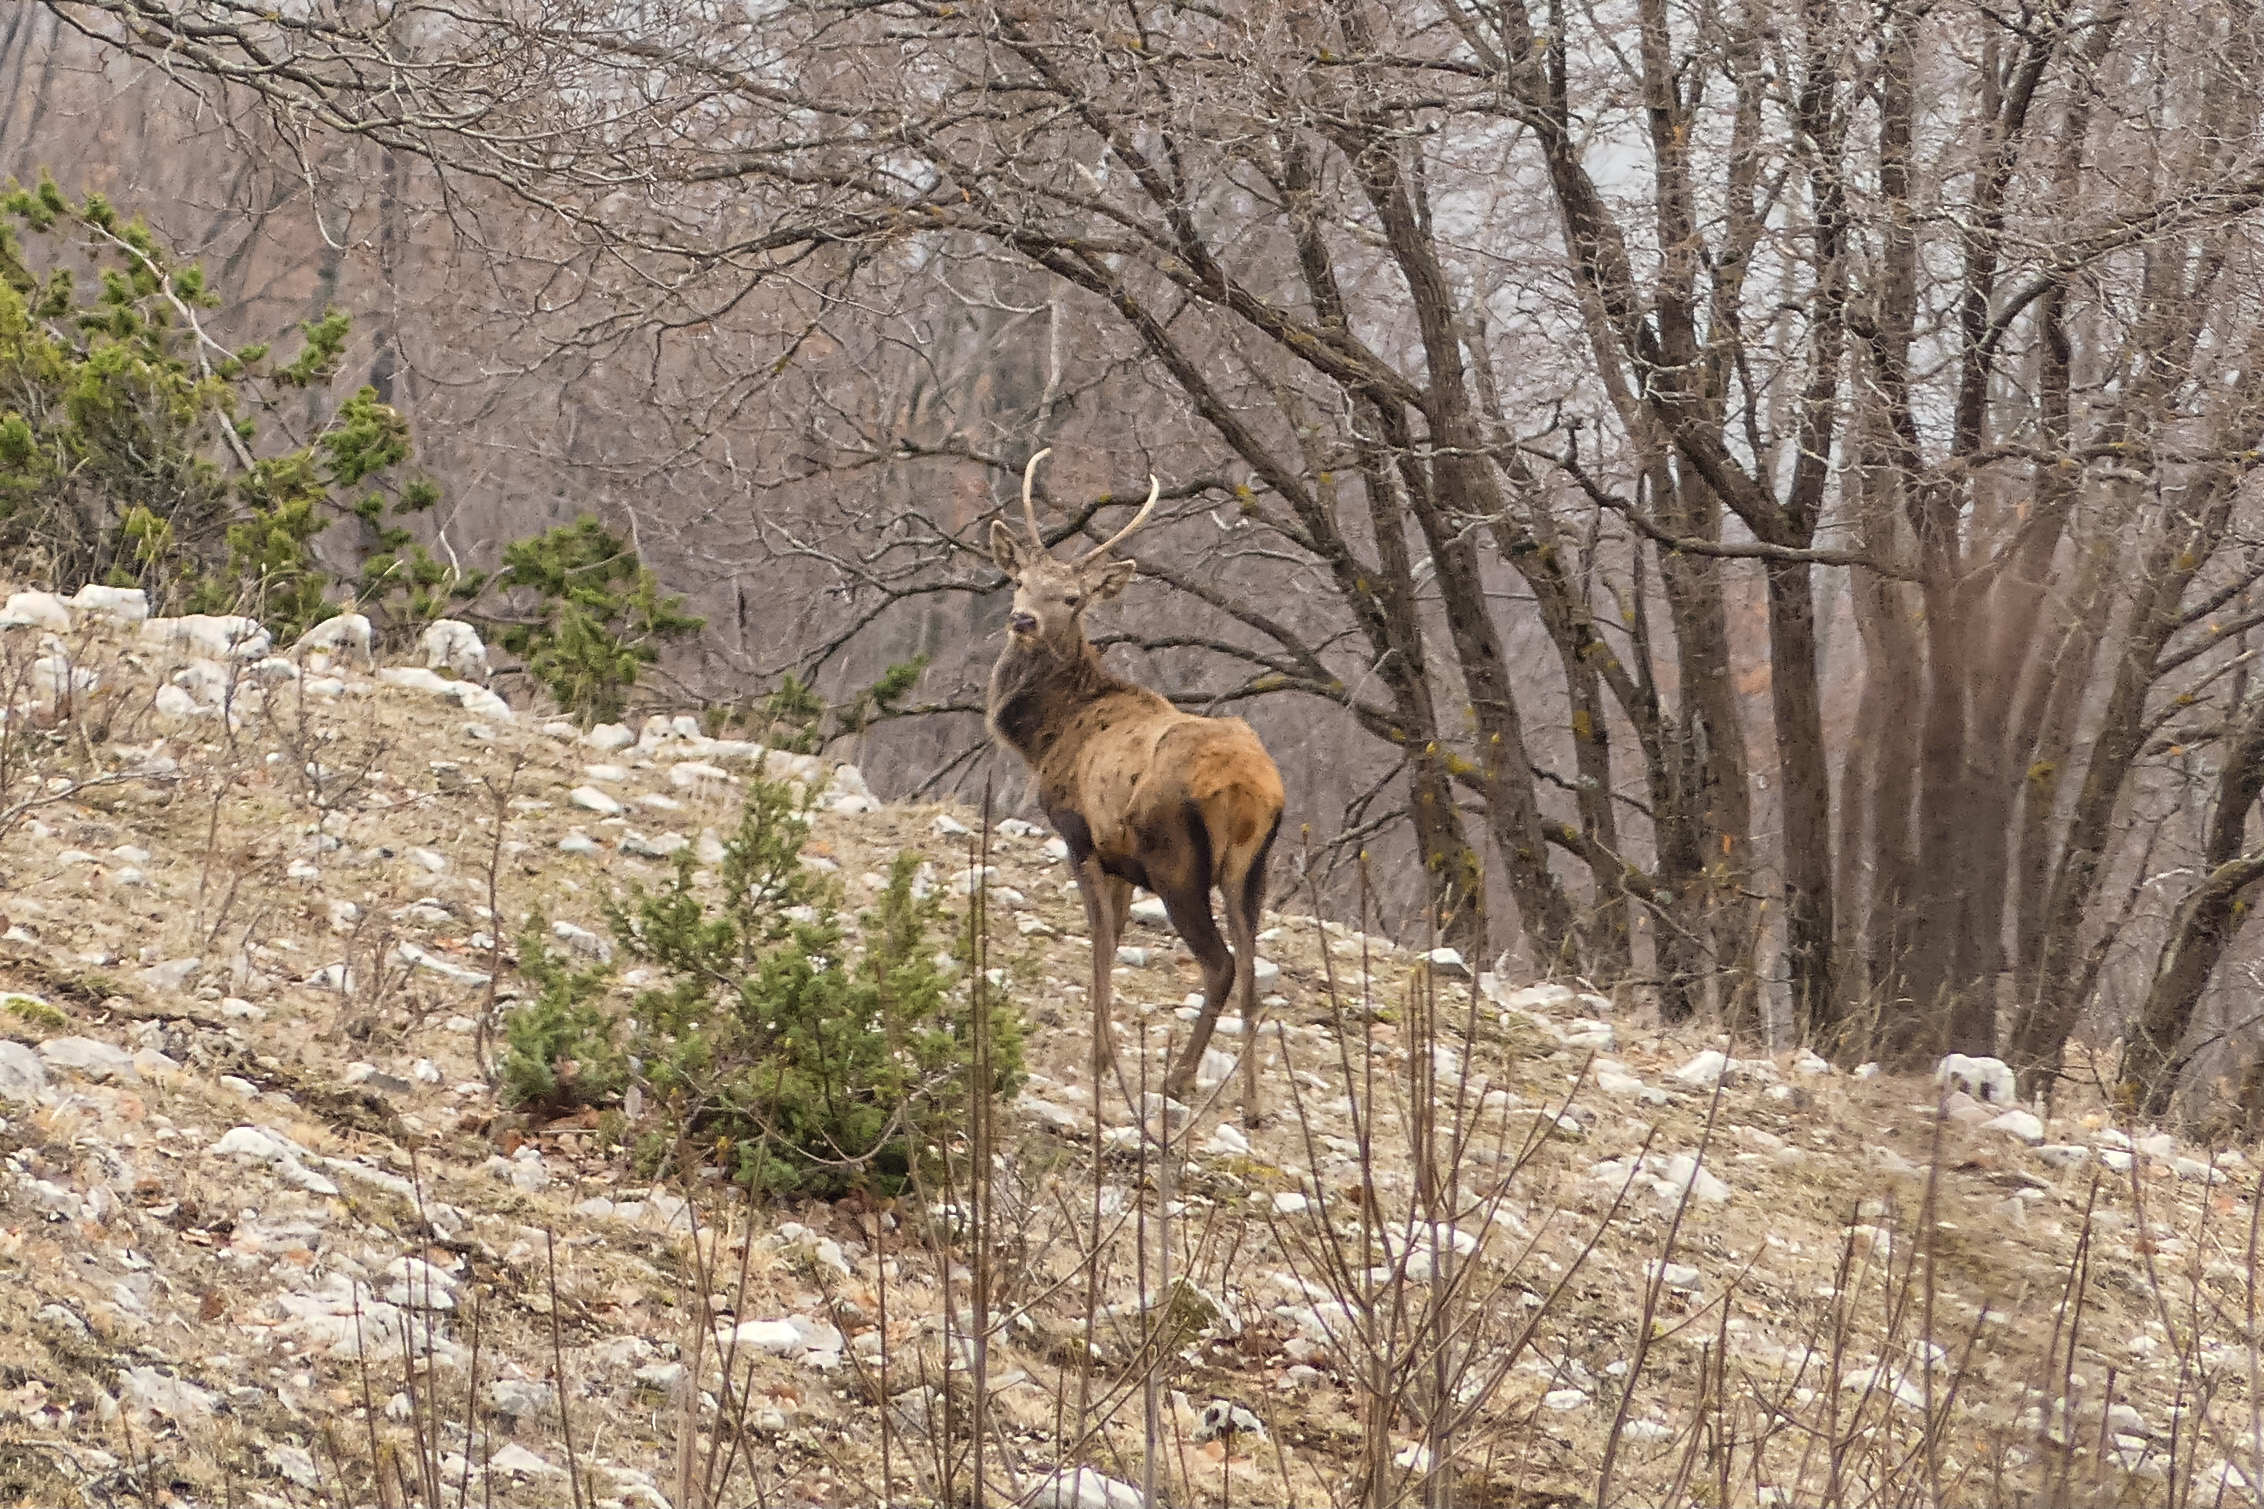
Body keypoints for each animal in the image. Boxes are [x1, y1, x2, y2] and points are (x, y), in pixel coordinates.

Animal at [987, 449, 1286, 1120]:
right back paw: (1251, 1102)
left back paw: (1178, 1078)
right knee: (1253, 968)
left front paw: (1103, 1062)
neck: (1046, 739)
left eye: (1072, 597)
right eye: (1021, 582)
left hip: (1176, 861)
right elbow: (1117, 934)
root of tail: (1253, 793)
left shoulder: (1078, 835)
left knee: (1222, 964)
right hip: (1251, 870)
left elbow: (1100, 941)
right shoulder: (1120, 860)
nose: (1022, 620)